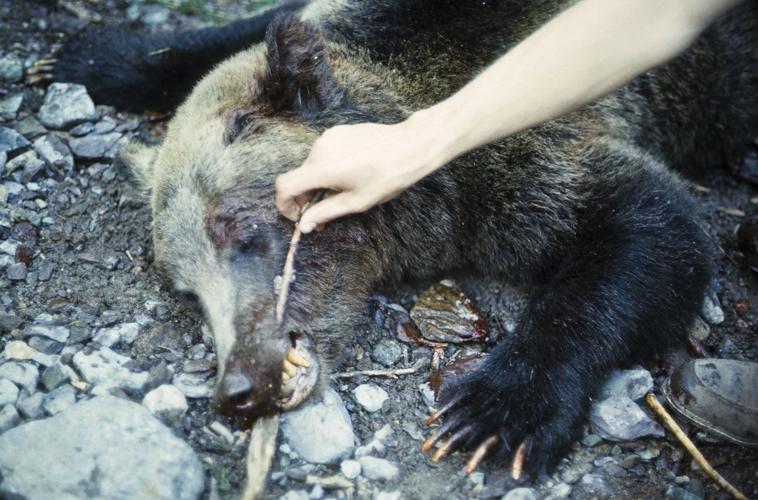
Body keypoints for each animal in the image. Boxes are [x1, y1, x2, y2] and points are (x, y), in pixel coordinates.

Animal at [60, 0, 758, 476]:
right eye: (186, 291)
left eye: (239, 226)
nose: (237, 386)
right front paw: (88, 53)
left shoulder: (519, 164)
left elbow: (653, 228)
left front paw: (494, 412)